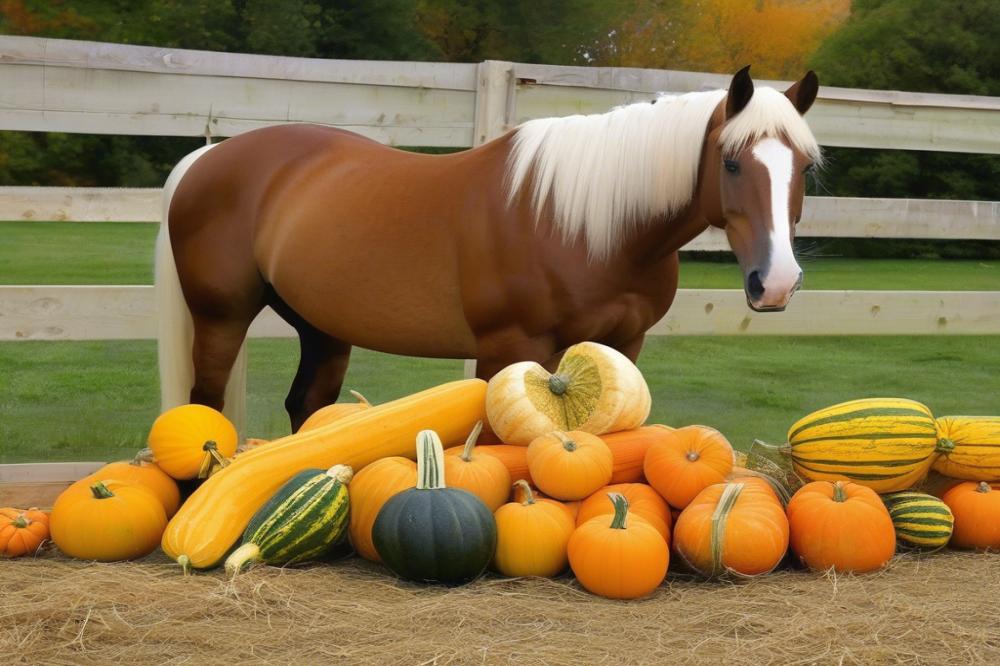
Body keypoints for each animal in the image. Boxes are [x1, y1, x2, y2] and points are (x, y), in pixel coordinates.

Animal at [158, 66, 820, 430]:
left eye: (806, 168)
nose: (776, 282)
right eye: (731, 162)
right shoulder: (511, 347)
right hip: (222, 317)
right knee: (204, 402)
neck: (585, 224)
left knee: (309, 405)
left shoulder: (623, 344)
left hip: (321, 326)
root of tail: (209, 157)